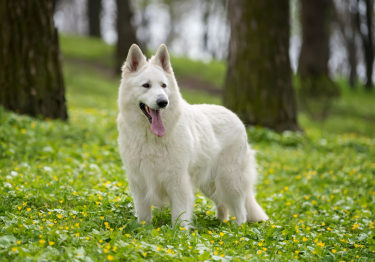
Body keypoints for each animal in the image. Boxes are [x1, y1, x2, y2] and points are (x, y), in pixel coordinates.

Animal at [117, 44, 268, 228]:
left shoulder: (178, 182)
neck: (151, 138)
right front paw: (143, 230)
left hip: (229, 181)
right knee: (222, 205)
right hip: (209, 184)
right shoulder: (139, 182)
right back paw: (220, 225)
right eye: (146, 85)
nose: (163, 102)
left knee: (240, 211)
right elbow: (144, 215)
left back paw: (237, 230)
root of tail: (235, 116)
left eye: (164, 85)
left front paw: (179, 234)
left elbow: (179, 217)